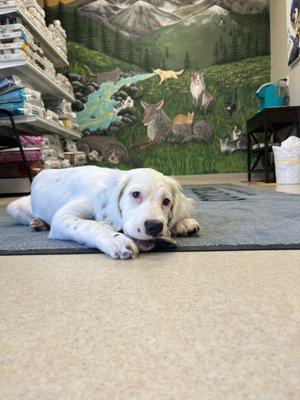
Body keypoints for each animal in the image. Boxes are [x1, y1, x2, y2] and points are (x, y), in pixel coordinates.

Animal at [6, 166, 199, 260]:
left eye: (166, 201)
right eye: (135, 194)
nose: (155, 226)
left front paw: (182, 223)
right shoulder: (63, 217)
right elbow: (89, 225)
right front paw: (116, 241)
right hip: (15, 207)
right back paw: (39, 222)